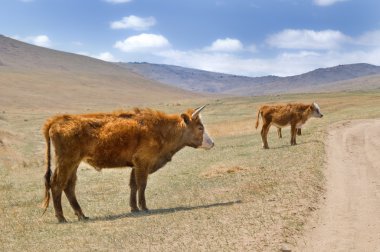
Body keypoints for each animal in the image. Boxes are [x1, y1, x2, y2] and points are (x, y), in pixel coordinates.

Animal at [42, 105, 214, 222]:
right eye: (200, 127)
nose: (212, 143)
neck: (162, 129)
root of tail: (57, 120)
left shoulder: (136, 165)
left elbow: (134, 185)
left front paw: (134, 208)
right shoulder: (143, 162)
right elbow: (142, 185)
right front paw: (144, 207)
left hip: (74, 163)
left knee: (69, 186)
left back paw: (82, 215)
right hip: (66, 162)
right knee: (57, 185)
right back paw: (61, 217)